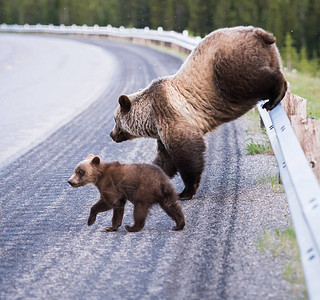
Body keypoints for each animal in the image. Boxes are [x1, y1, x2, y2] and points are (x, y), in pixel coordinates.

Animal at [110, 25, 288, 199]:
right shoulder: (163, 129)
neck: (150, 117)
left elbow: (187, 151)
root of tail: (260, 33)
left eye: (115, 120)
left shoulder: (169, 113)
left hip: (227, 65)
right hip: (271, 54)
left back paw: (275, 96)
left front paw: (185, 191)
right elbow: (165, 160)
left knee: (251, 80)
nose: (112, 134)